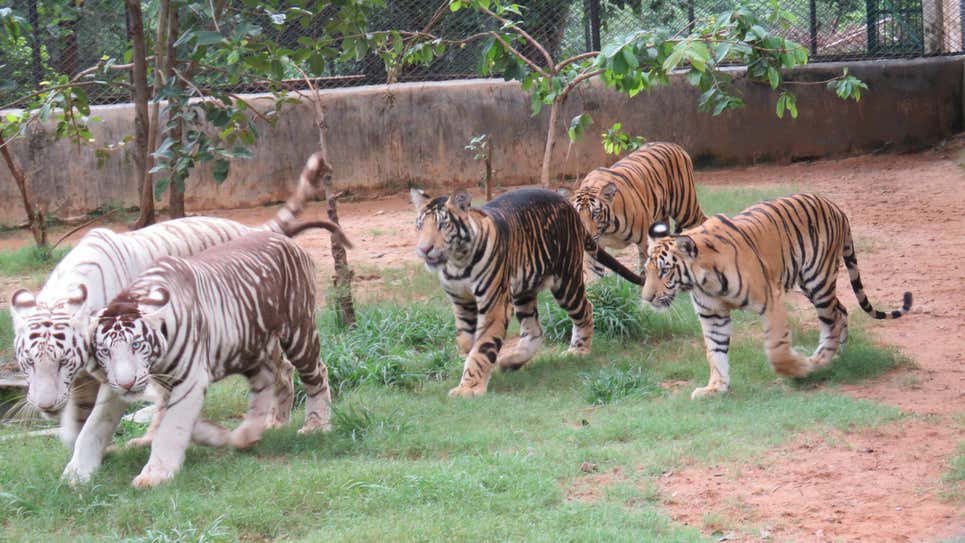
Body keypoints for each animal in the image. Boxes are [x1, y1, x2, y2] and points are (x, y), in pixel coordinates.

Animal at [9, 151, 331, 453]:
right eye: (28, 362)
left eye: (63, 362)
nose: (45, 405)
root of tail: (251, 230)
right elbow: (80, 415)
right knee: (282, 369)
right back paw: (276, 421)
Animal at [81, 222, 344, 488]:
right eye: (105, 351)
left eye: (136, 345)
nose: (126, 384)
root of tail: (285, 240)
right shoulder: (158, 385)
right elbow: (156, 417)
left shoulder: (189, 380)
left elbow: (171, 427)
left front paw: (154, 475)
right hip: (249, 345)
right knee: (269, 380)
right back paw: (255, 431)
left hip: (298, 330)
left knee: (316, 374)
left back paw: (316, 425)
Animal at [410, 187, 643, 398]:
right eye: (420, 225)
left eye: (442, 225)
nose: (423, 249)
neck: (456, 263)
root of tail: (568, 204)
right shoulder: (462, 304)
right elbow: (468, 343)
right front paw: (472, 371)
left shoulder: (494, 304)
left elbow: (482, 347)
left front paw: (469, 388)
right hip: (523, 291)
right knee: (535, 330)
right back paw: (512, 361)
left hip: (565, 283)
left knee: (585, 309)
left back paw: (579, 350)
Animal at [563, 142, 707, 276]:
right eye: (577, 215)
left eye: (595, 213)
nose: (585, 237)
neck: (608, 229)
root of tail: (673, 145)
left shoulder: (645, 241)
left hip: (686, 210)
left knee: (703, 222)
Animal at [640, 193, 912, 400]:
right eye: (647, 270)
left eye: (665, 270)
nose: (646, 298)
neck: (704, 280)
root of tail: (837, 209)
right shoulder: (712, 315)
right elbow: (715, 352)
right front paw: (715, 388)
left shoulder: (770, 301)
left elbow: (777, 349)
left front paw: (799, 369)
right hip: (812, 284)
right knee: (841, 311)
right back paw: (837, 354)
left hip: (818, 280)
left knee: (832, 319)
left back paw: (820, 360)